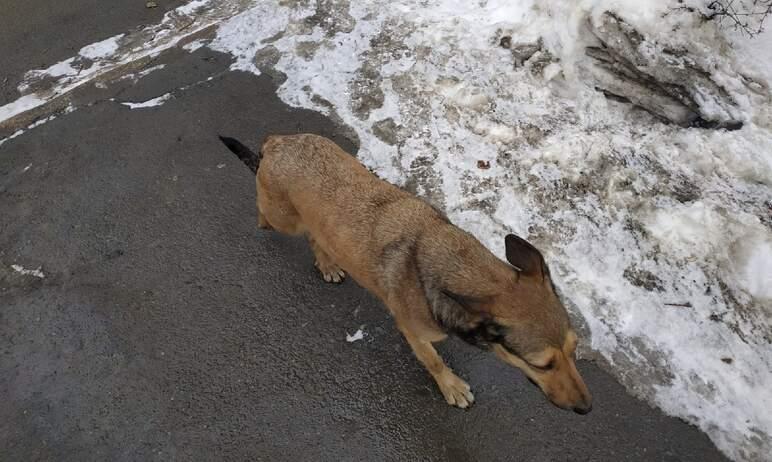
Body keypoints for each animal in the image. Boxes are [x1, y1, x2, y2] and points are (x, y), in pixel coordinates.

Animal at [220, 133, 596, 412]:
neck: (449, 261)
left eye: (574, 349)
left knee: (316, 236)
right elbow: (433, 361)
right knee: (267, 212)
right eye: (542, 364)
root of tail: (277, 143)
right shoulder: (413, 331)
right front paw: (451, 386)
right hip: (283, 218)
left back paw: (326, 261)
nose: (586, 408)